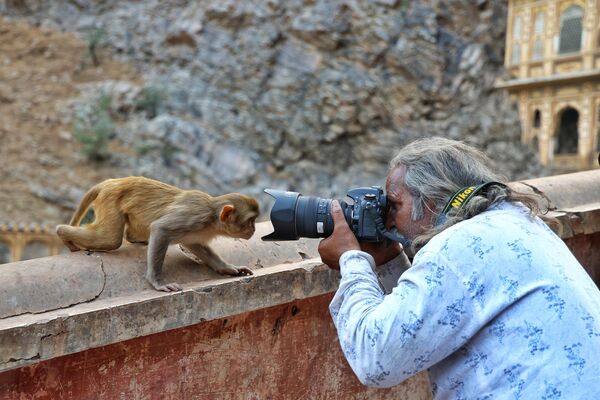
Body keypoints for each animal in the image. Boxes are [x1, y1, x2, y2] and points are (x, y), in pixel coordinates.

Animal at [56, 177, 260, 292]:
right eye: (250, 221)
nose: (254, 229)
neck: (212, 217)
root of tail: (112, 181)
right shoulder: (194, 216)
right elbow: (161, 229)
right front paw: (157, 282)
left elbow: (195, 245)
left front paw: (228, 268)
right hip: (110, 199)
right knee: (110, 240)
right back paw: (62, 233)